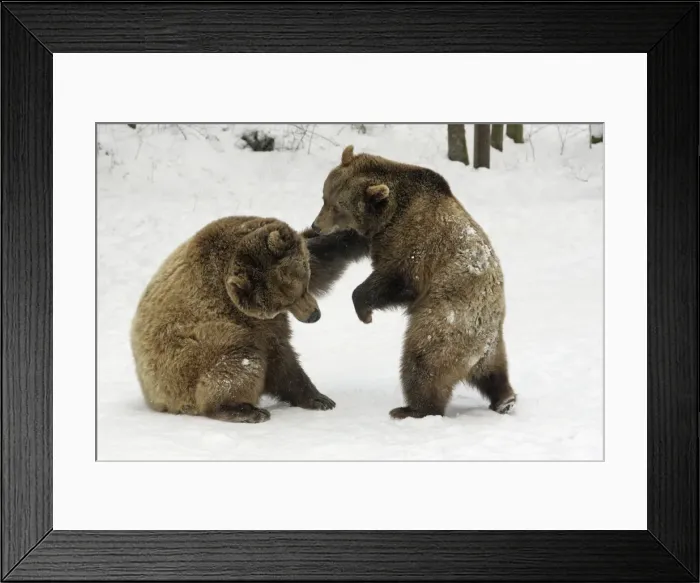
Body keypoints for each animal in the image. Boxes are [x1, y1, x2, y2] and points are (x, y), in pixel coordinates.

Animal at [130, 215, 368, 423]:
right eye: (284, 301)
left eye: (302, 284)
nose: (314, 315)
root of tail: (153, 397)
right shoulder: (247, 320)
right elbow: (279, 358)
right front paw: (318, 398)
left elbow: (320, 255)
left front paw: (355, 235)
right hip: (189, 366)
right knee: (241, 363)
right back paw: (245, 410)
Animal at [310, 145, 516, 420]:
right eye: (325, 198)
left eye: (338, 207)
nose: (316, 226)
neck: (391, 212)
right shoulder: (372, 235)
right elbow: (343, 244)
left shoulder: (414, 244)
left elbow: (395, 279)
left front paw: (365, 312)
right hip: (488, 343)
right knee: (493, 372)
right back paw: (505, 399)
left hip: (448, 317)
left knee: (424, 358)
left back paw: (413, 409)